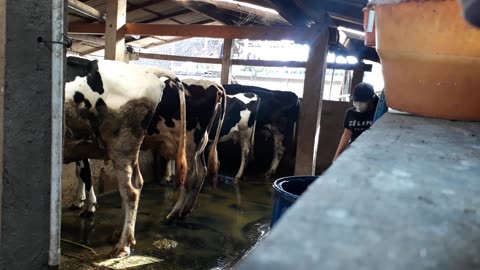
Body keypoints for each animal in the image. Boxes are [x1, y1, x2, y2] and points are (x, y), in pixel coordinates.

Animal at [64, 57, 188, 258]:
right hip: (129, 152)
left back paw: (123, 245)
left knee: (130, 191)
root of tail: (146, 71)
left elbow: (85, 174)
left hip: (122, 146)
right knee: (134, 184)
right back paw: (117, 234)